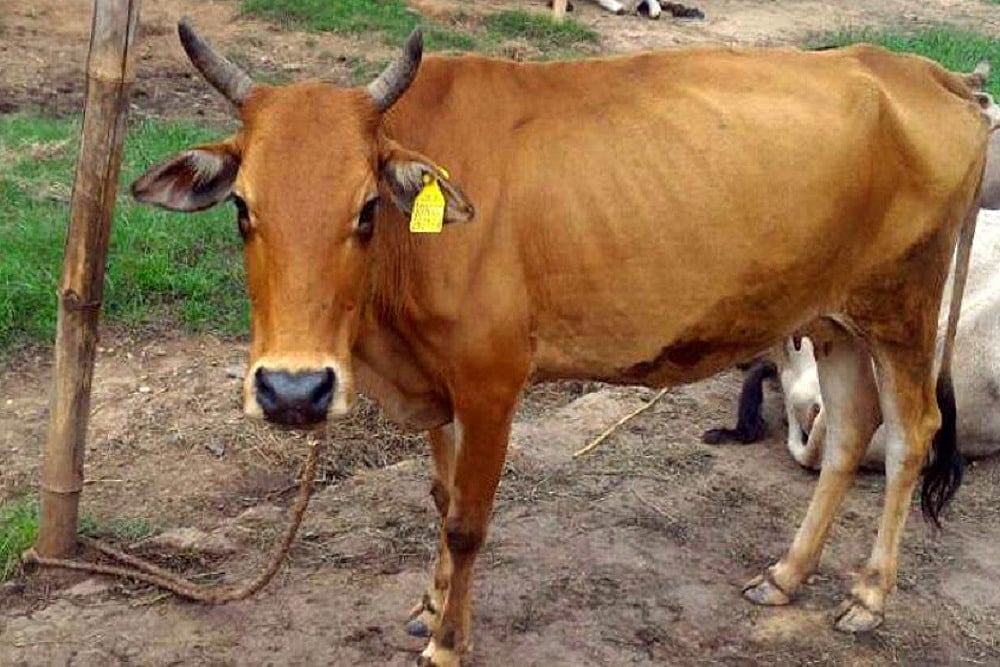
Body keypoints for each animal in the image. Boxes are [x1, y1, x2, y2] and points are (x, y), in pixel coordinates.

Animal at [131, 20, 990, 666]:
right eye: (242, 208)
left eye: (367, 208)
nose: (292, 391)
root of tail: (924, 72)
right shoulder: (437, 383)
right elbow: (439, 494)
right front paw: (430, 603)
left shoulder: (492, 380)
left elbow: (467, 517)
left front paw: (448, 641)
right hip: (833, 320)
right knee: (845, 434)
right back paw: (785, 574)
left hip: (904, 310)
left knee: (910, 435)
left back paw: (868, 594)